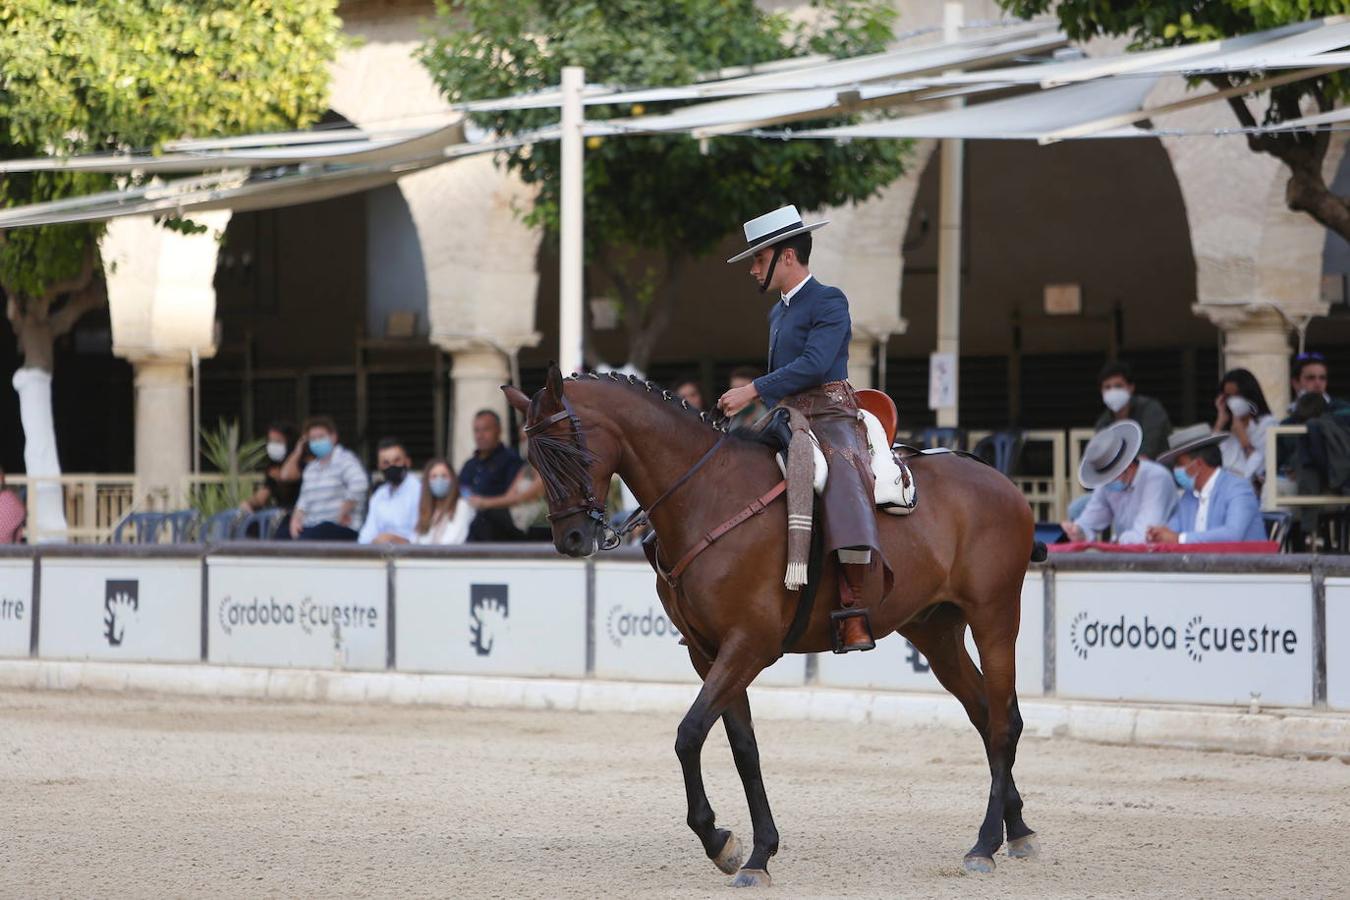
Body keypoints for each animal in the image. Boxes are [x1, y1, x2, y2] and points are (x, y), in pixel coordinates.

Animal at [507, 364, 1042, 885]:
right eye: (533, 460)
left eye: (568, 452)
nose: (572, 539)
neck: (708, 496)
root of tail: (998, 480)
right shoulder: (708, 653)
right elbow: (744, 748)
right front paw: (755, 852)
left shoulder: (748, 644)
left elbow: (689, 734)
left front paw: (720, 840)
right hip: (934, 631)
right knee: (985, 712)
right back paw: (1016, 829)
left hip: (995, 617)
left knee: (1002, 722)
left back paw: (985, 844)